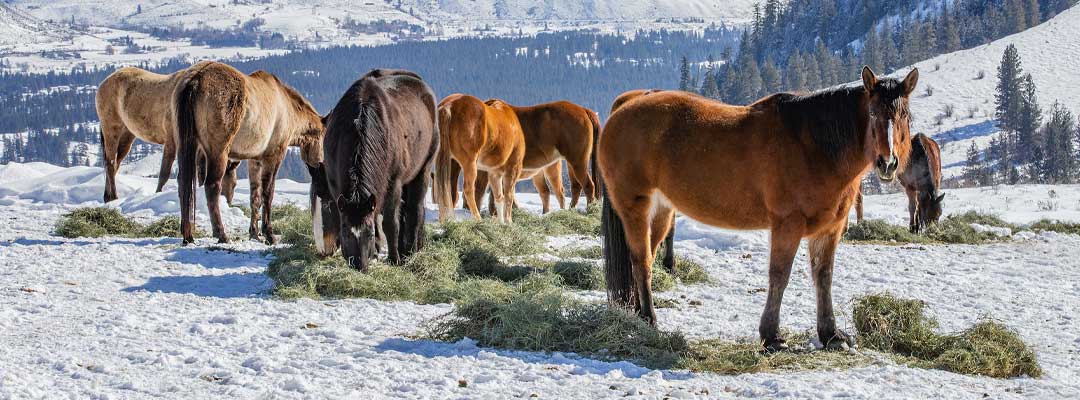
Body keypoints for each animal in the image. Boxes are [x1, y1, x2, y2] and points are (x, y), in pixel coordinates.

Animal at [95, 66, 238, 203]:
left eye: (234, 184)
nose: (228, 202)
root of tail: (103, 83)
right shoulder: (172, 141)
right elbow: (165, 173)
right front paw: (157, 193)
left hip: (127, 135)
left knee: (115, 164)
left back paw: (107, 197)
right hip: (111, 128)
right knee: (110, 163)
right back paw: (113, 197)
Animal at [172, 61, 321, 243]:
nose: (319, 165)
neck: (288, 109)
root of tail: (195, 79)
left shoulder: (254, 160)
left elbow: (255, 196)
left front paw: (254, 233)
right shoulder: (274, 156)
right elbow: (268, 193)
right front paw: (269, 234)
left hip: (189, 147)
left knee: (183, 184)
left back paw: (188, 235)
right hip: (218, 152)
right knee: (212, 186)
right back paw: (221, 234)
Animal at [308, 69, 438, 271]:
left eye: (367, 234)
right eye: (346, 233)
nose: (359, 265)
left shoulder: (393, 184)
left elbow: (390, 223)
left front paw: (394, 259)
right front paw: (376, 252)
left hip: (422, 170)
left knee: (414, 210)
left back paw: (410, 251)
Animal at [434, 95, 527, 223]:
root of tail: (448, 106)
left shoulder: (494, 173)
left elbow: (499, 197)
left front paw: (501, 222)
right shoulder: (513, 168)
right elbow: (508, 196)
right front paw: (508, 221)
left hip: (450, 161)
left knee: (446, 188)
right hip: (470, 163)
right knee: (468, 190)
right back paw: (478, 218)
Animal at [604, 67, 915, 352]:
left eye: (904, 116)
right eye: (873, 113)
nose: (888, 163)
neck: (813, 146)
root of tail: (626, 105)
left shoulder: (830, 228)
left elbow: (823, 276)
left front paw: (831, 335)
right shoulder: (788, 225)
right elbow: (779, 275)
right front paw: (772, 336)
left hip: (662, 212)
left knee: (646, 257)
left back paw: (639, 315)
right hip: (635, 209)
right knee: (642, 262)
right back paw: (650, 319)